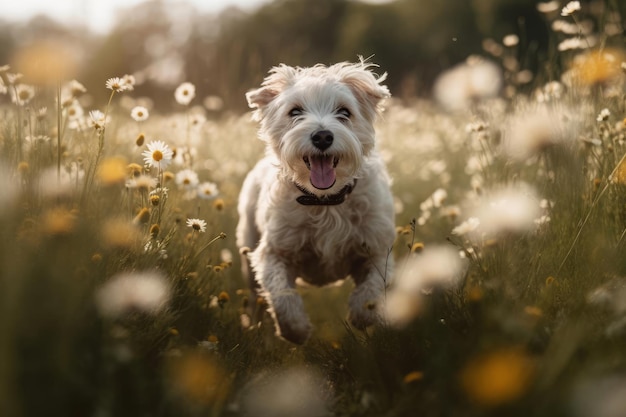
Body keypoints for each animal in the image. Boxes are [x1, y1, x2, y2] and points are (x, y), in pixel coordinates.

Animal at [234, 60, 394, 342]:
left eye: (344, 112)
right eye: (295, 111)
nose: (322, 137)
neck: (324, 202)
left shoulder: (377, 248)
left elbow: (373, 289)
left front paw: (362, 315)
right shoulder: (274, 252)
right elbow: (281, 293)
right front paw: (296, 329)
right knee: (255, 298)